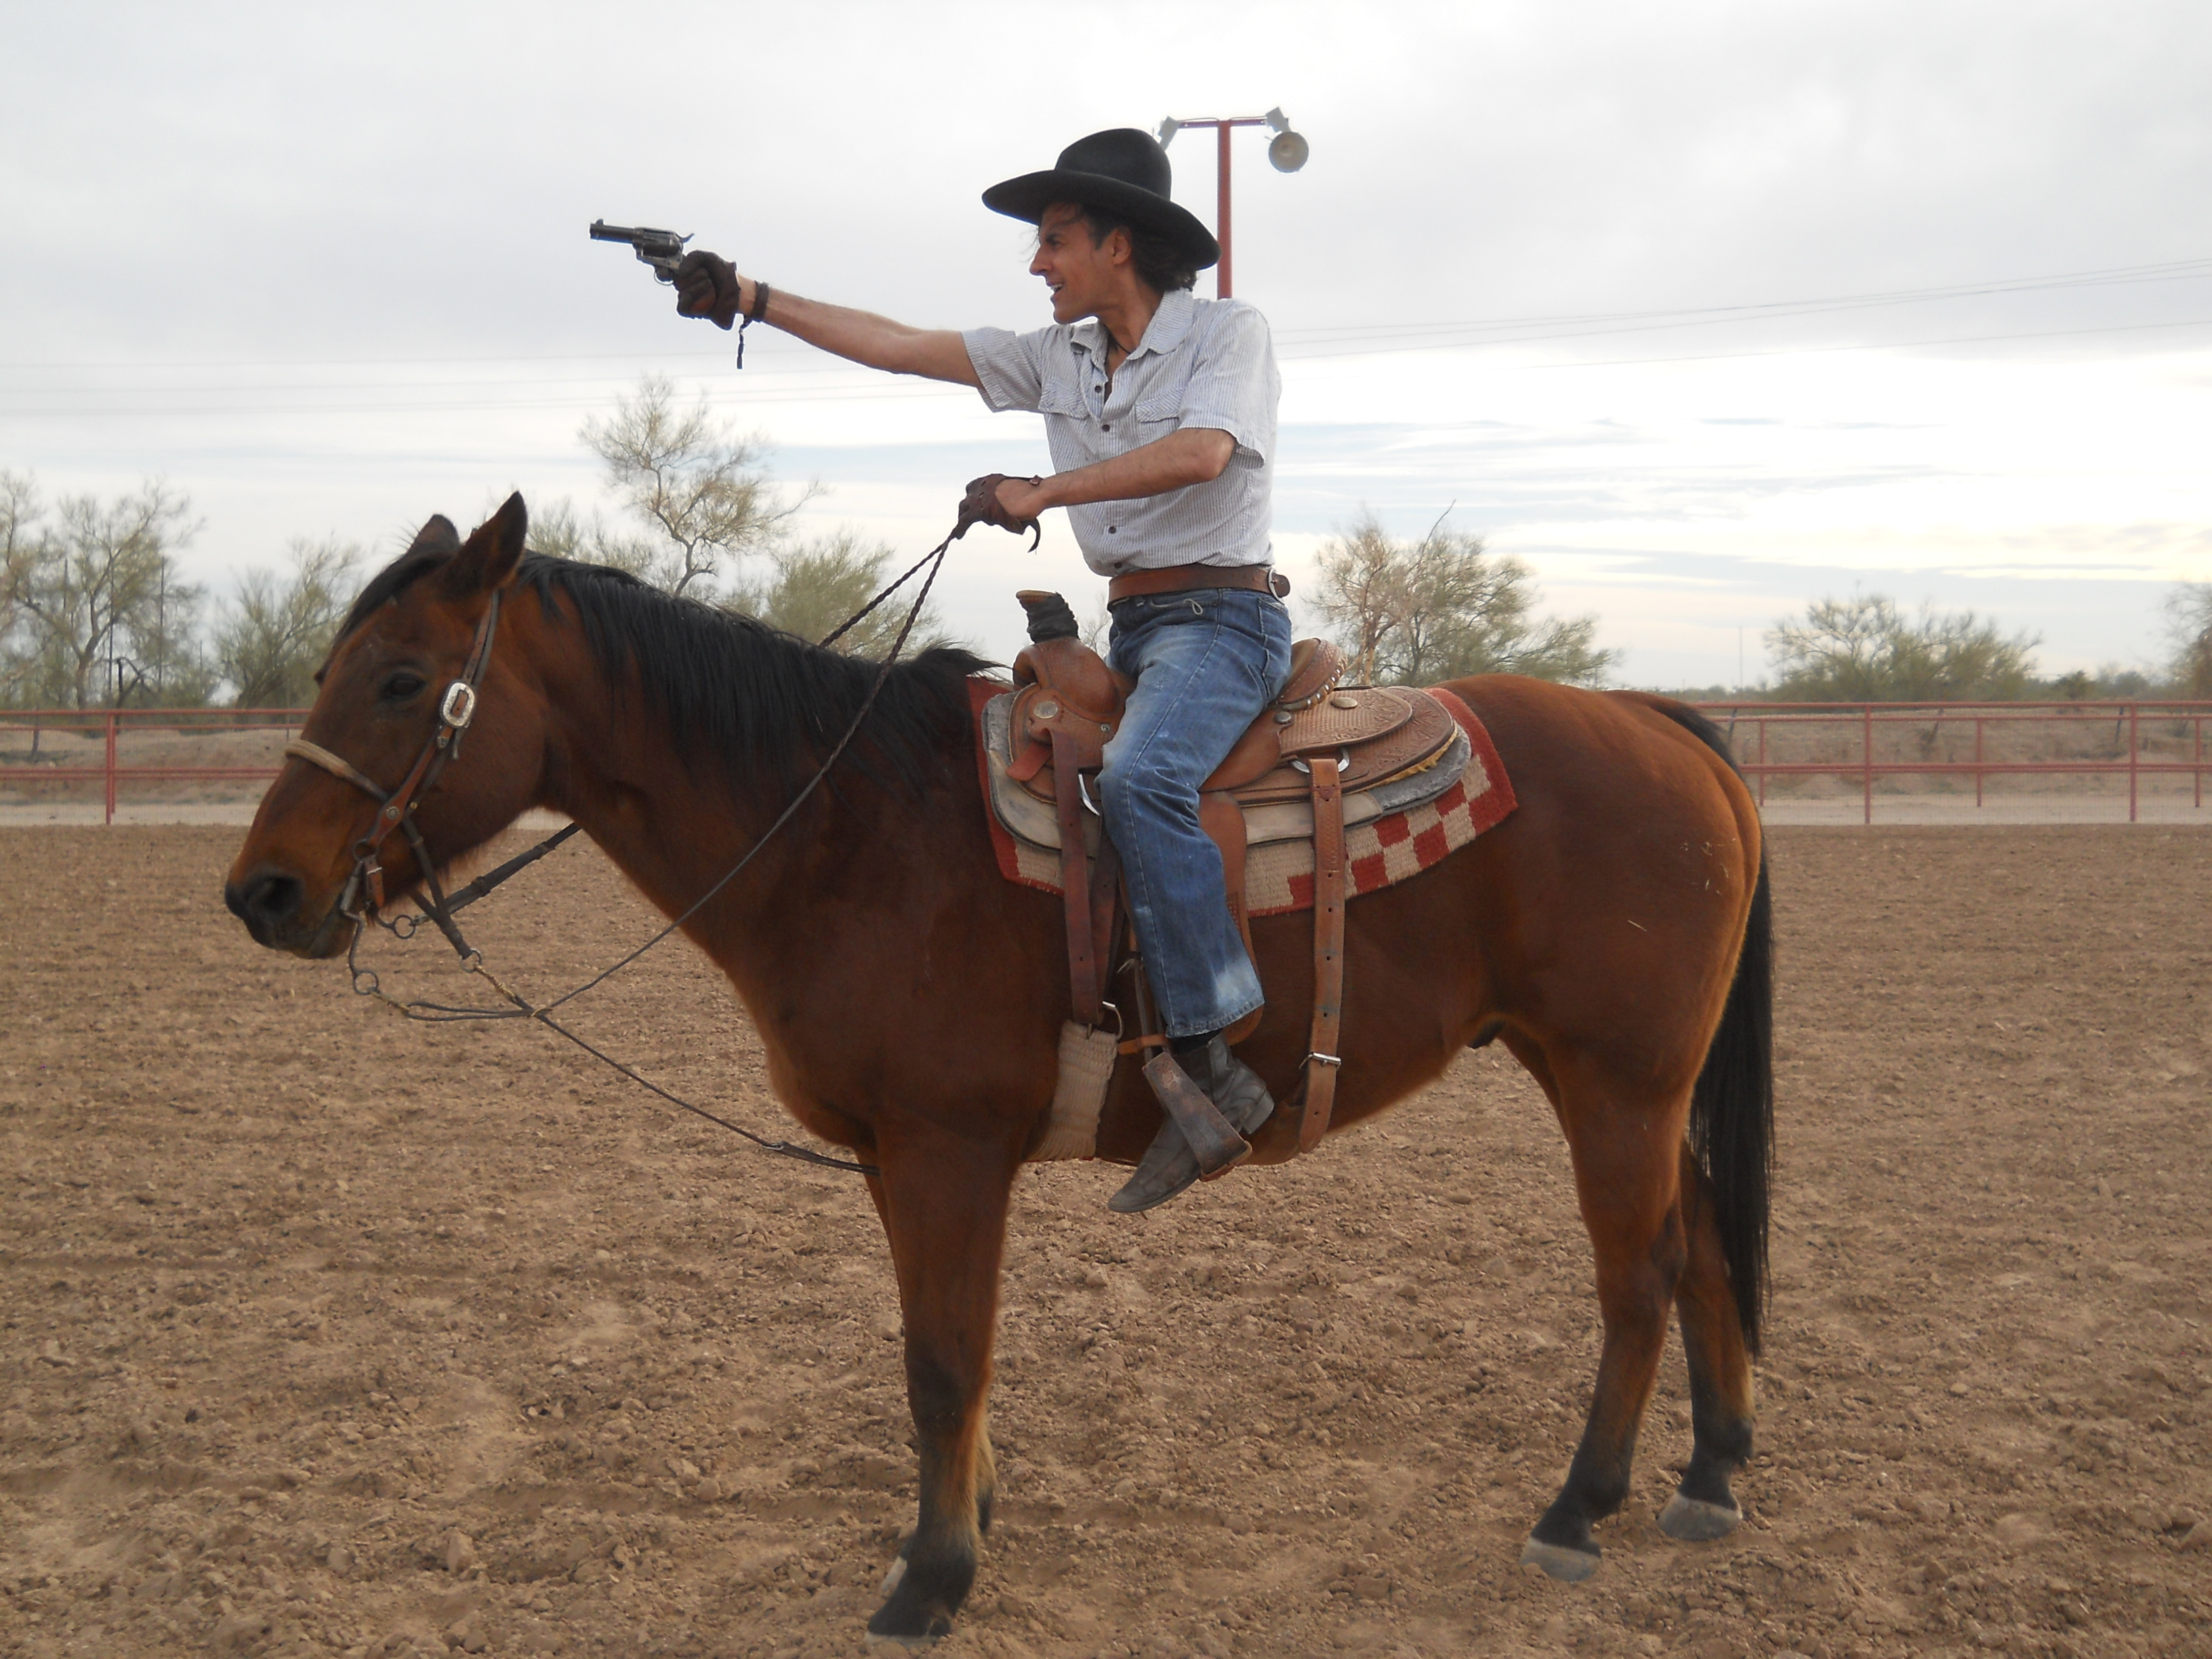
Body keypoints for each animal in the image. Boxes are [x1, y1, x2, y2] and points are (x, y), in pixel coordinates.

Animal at [224, 499, 1769, 1645]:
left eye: (403, 679)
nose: (262, 892)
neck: (843, 826)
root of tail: (1662, 725)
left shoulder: (944, 1153)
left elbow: (940, 1358)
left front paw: (931, 1577)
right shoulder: (902, 1162)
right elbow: (950, 1357)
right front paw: (966, 1520)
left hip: (1617, 1080)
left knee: (1638, 1271)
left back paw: (1579, 1508)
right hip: (1607, 1077)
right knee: (1700, 1245)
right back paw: (1708, 1477)